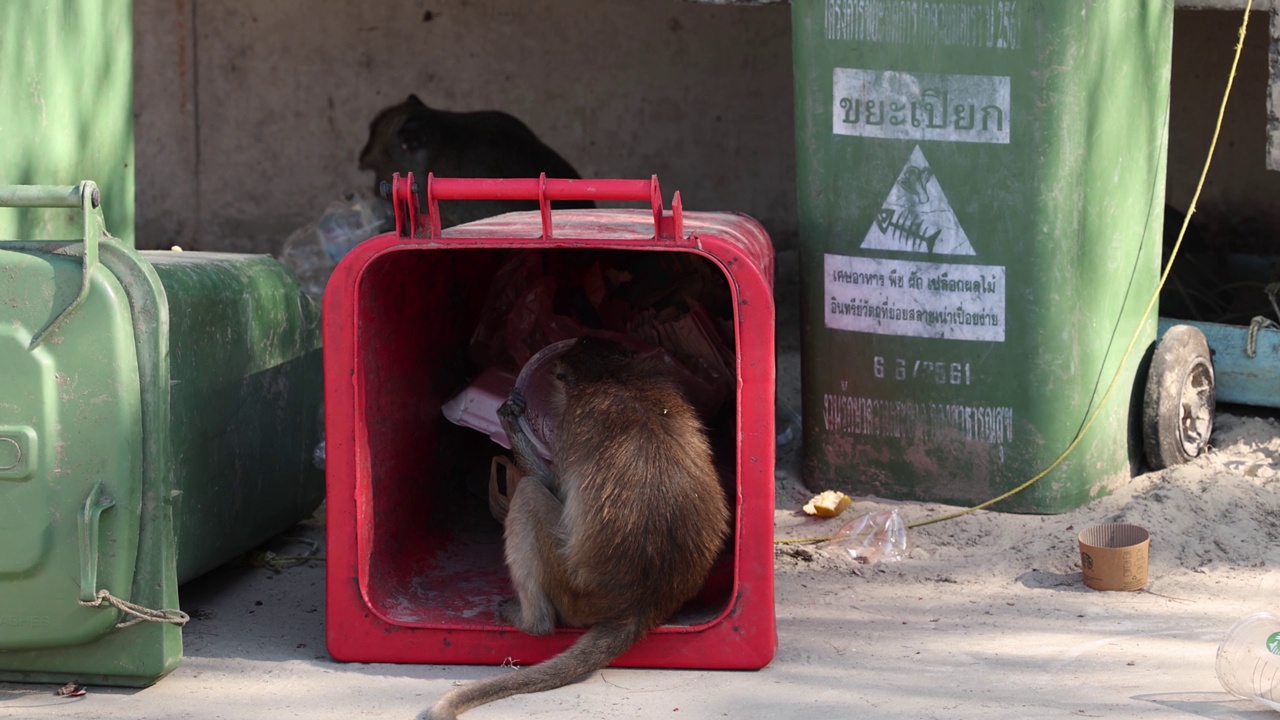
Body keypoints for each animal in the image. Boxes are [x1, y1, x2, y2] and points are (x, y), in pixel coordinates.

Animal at [430, 335, 732, 717]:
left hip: (572, 590)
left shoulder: (569, 425)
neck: (614, 377)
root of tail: (645, 603)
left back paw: (533, 623)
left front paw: (510, 422)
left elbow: (551, 484)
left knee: (529, 494)